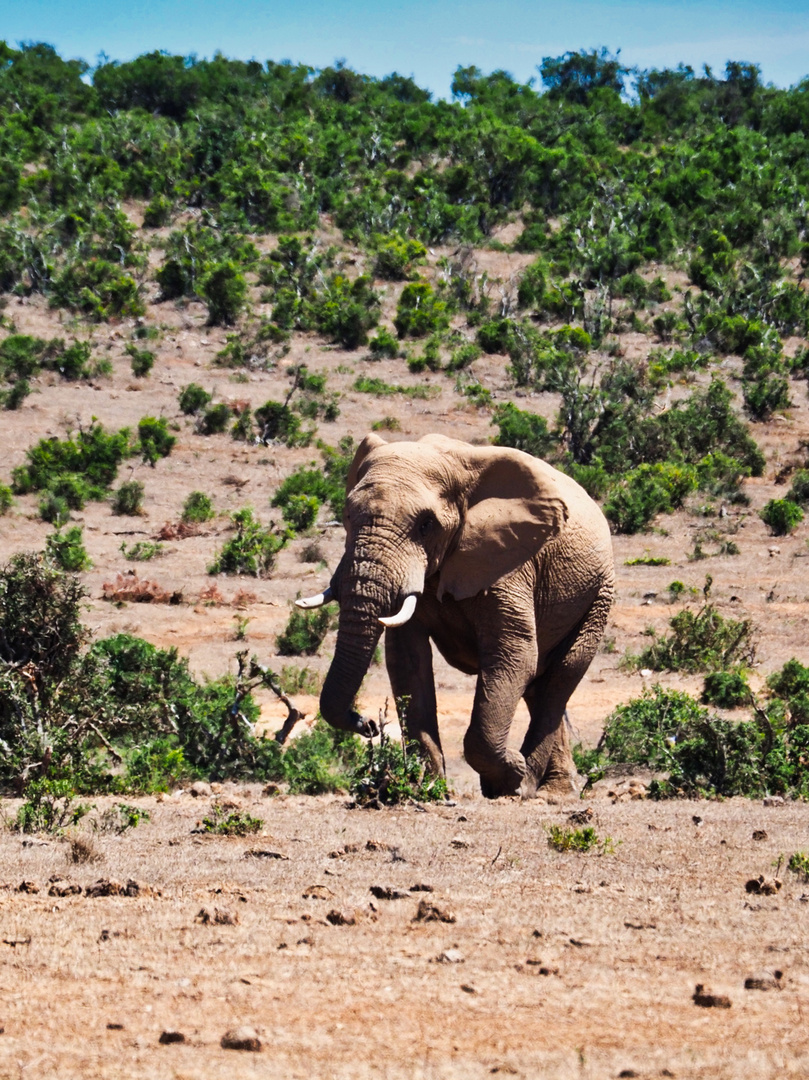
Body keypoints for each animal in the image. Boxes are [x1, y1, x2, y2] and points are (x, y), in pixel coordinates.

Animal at [295, 432, 613, 803]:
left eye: (425, 525)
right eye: (346, 515)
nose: (368, 724)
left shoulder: (510, 564)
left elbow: (515, 653)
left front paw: (512, 780)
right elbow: (407, 660)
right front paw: (427, 789)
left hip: (599, 594)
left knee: (560, 677)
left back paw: (538, 787)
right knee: (541, 685)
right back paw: (554, 788)